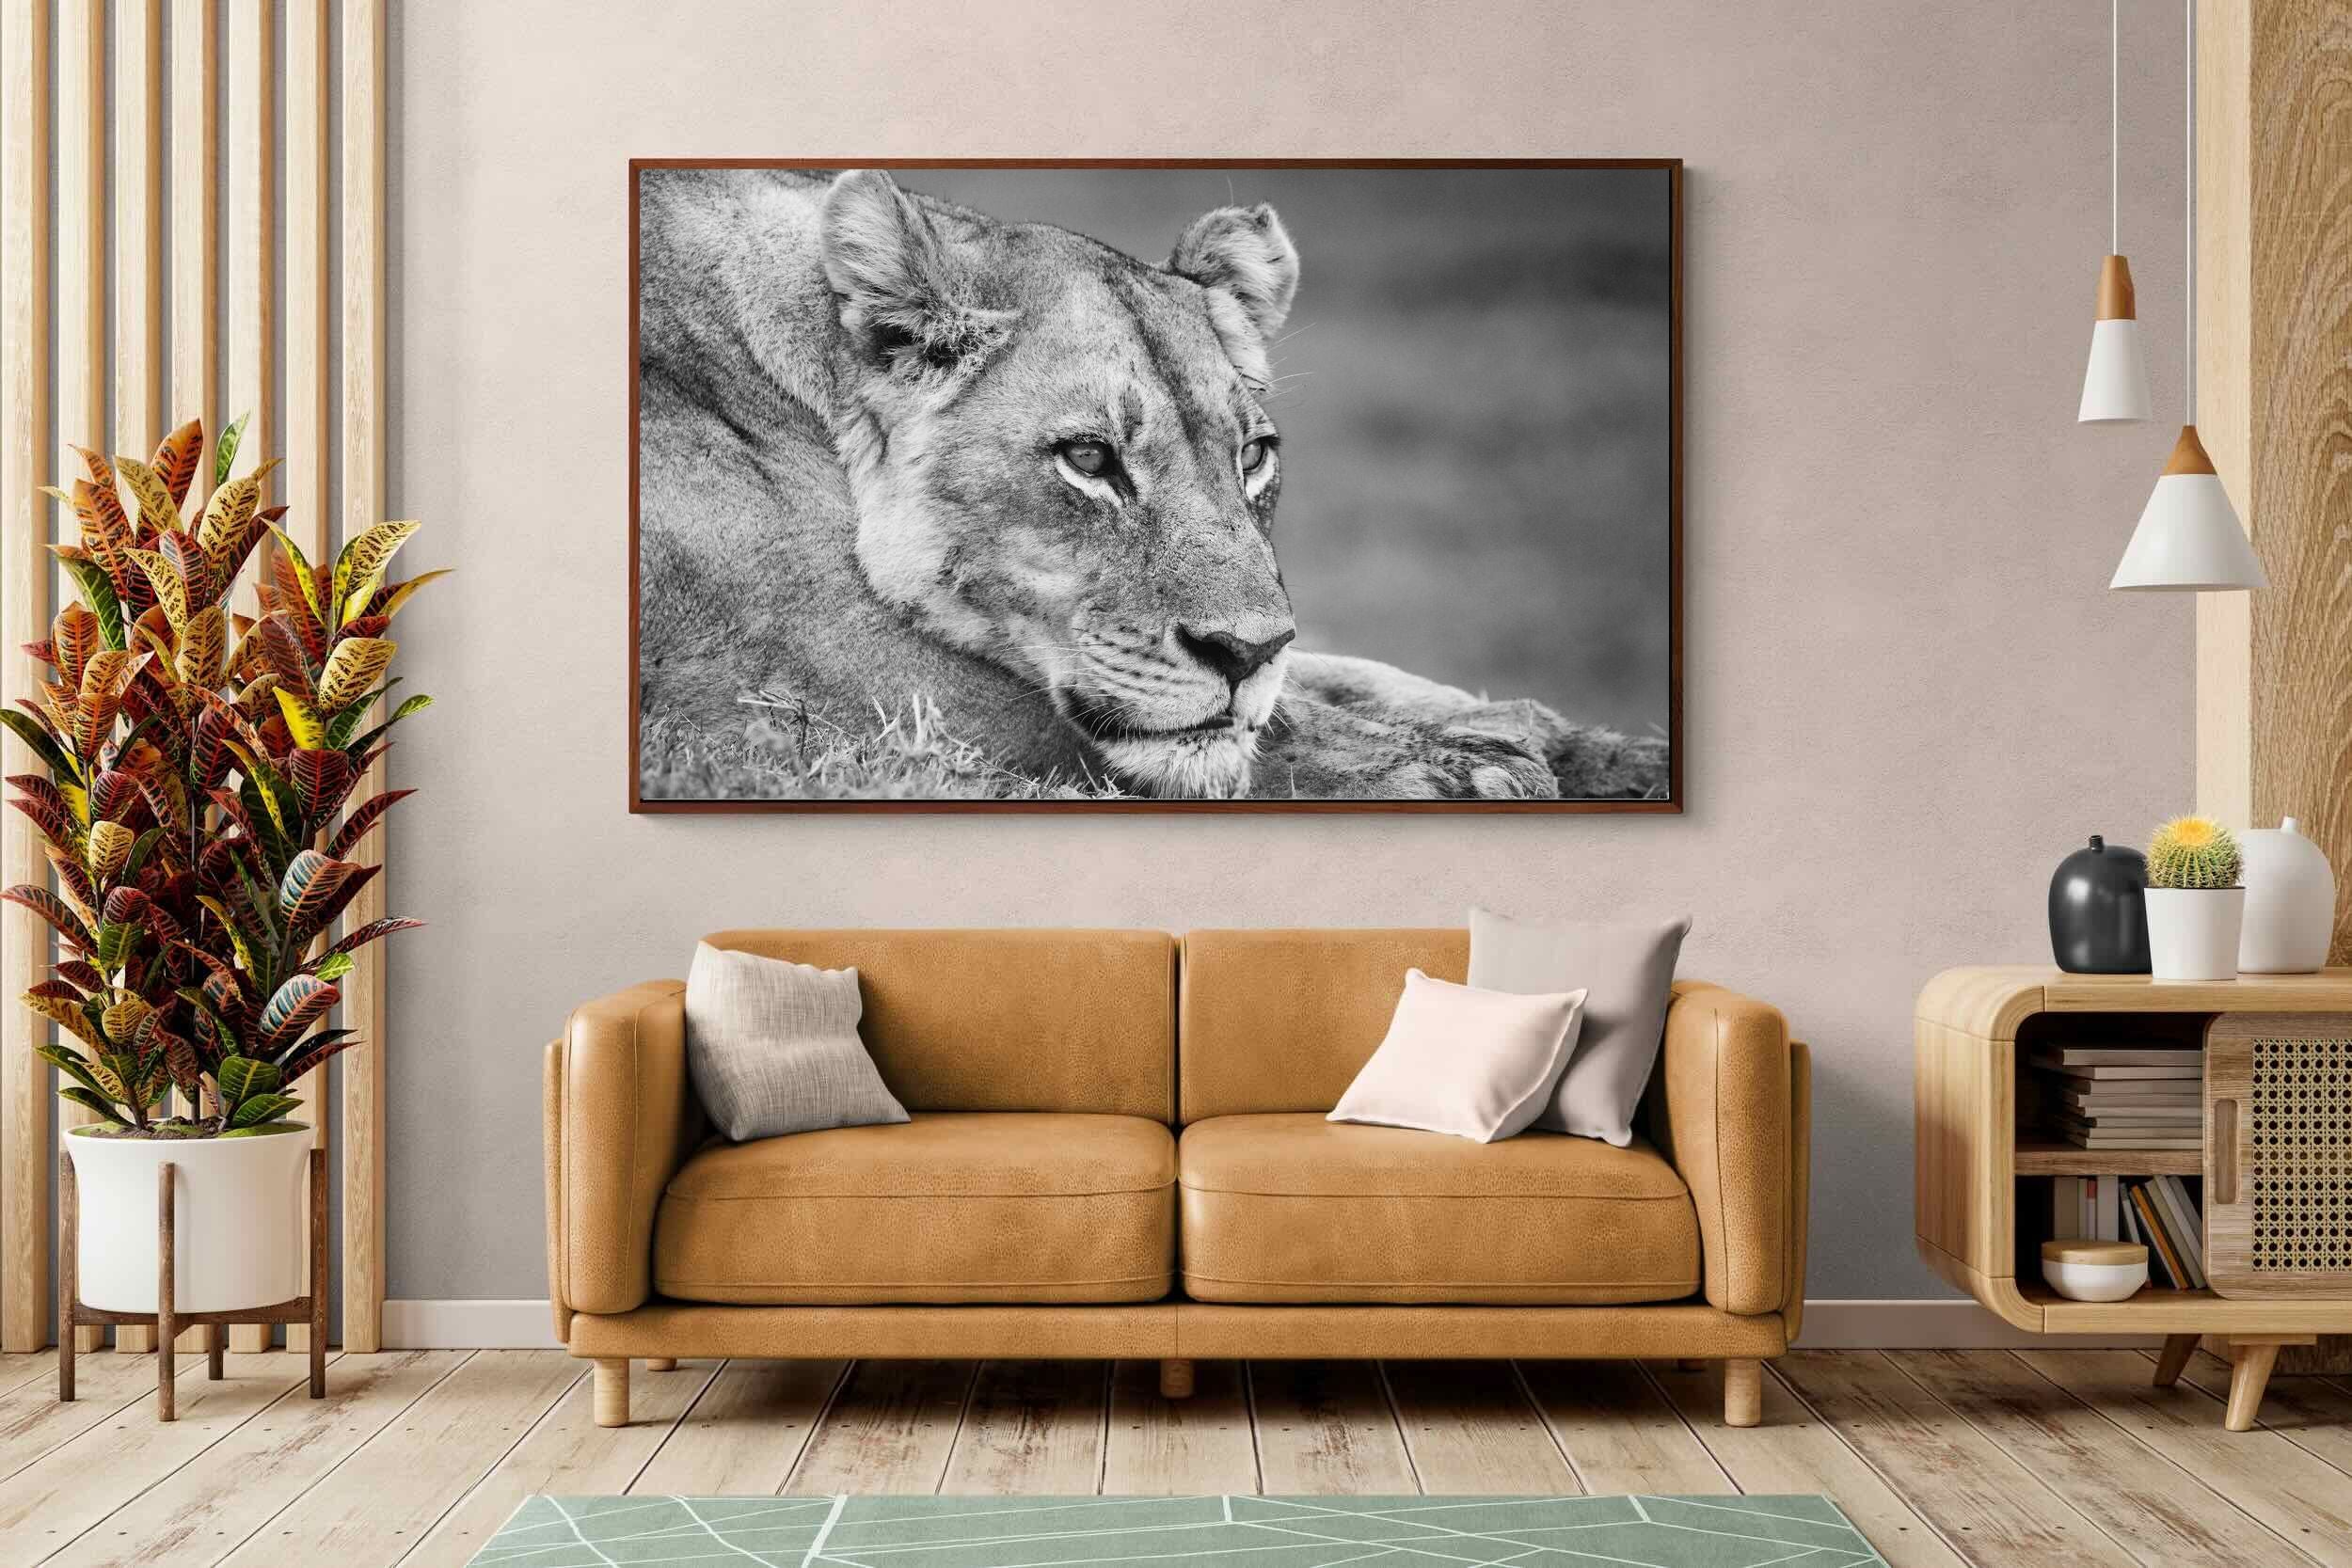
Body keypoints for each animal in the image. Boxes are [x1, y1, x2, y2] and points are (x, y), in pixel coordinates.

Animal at [636, 167, 1666, 801]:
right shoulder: (825, 685)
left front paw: (1591, 747)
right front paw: (1463, 769)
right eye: (1089, 459)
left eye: (1252, 455)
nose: (1243, 653)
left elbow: (1346, 675)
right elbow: (1249, 729)